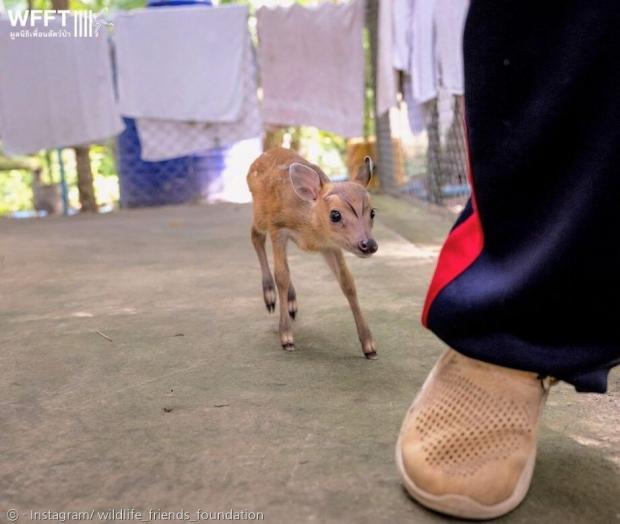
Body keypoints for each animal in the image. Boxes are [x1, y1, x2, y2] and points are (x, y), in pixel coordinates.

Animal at [247, 149, 378, 358]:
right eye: (335, 214)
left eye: (372, 212)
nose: (369, 244)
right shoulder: (278, 228)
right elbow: (281, 277)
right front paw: (286, 338)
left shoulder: (331, 244)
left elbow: (348, 283)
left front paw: (369, 345)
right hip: (260, 214)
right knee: (255, 236)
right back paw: (270, 296)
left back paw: (291, 303)